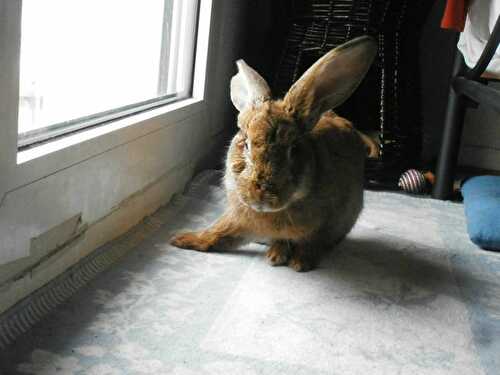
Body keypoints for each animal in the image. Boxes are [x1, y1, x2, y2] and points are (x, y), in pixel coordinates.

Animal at [172, 36, 378, 272]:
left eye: (293, 148)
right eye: (245, 143)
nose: (262, 194)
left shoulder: (327, 223)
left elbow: (312, 243)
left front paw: (300, 263)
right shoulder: (237, 220)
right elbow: (218, 232)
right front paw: (182, 240)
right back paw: (276, 253)